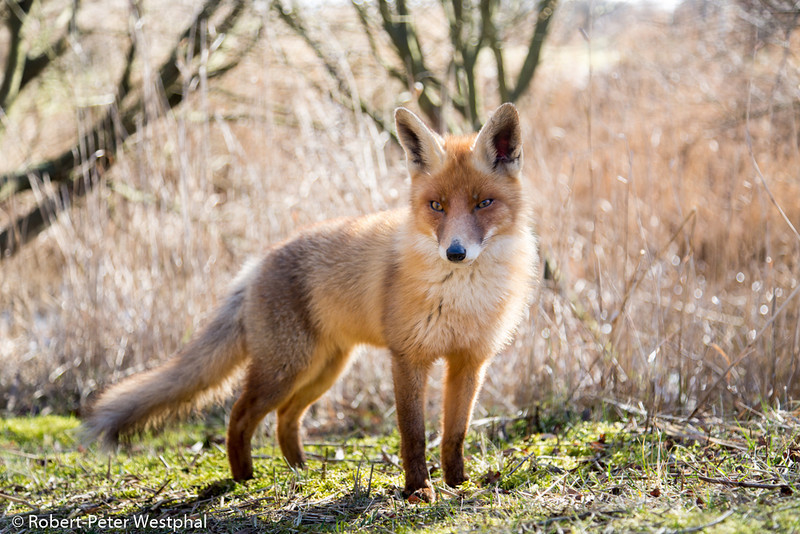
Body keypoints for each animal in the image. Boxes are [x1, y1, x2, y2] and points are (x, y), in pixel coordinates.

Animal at [83, 102, 536, 504]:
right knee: (240, 415)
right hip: (286, 368)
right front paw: (417, 491)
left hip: (323, 369)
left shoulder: (469, 362)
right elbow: (413, 434)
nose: (455, 253)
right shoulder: (408, 358)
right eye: (436, 206)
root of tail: (258, 262)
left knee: (286, 418)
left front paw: (459, 483)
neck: (462, 298)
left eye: (483, 203)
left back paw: (300, 471)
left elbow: (455, 433)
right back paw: (243, 479)